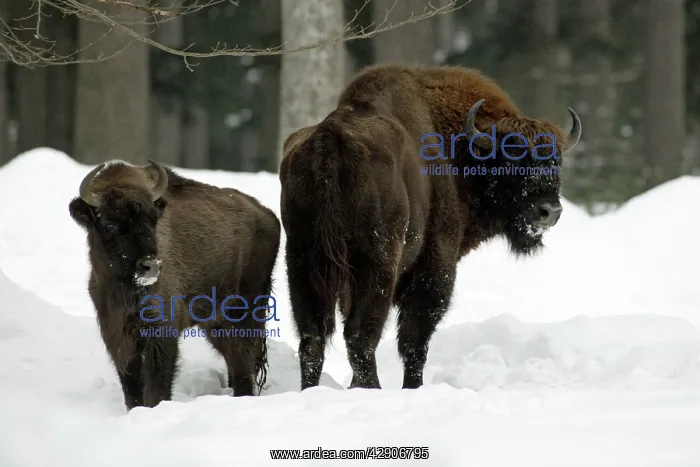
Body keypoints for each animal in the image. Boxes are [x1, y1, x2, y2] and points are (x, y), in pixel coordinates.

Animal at [68, 160, 281, 410]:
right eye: (109, 224)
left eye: (152, 220)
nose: (150, 265)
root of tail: (267, 215)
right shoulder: (117, 335)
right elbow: (132, 390)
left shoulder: (162, 333)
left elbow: (156, 388)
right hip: (215, 323)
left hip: (245, 313)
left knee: (243, 364)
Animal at [279, 64, 581, 391]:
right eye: (511, 159)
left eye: (555, 160)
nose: (549, 211)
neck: (459, 149)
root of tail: (330, 139)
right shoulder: (435, 266)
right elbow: (415, 339)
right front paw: (413, 386)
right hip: (376, 265)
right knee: (361, 335)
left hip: (302, 260)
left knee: (313, 336)